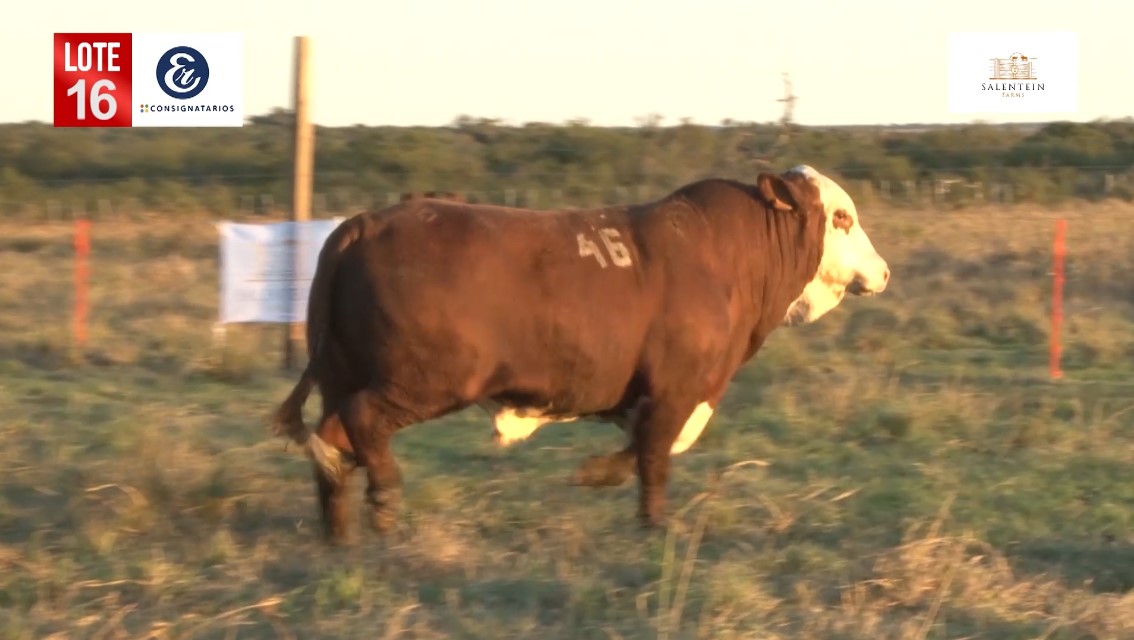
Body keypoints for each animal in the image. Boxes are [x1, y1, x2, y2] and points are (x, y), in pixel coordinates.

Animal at [271, 165, 890, 545]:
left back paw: (339, 537)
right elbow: (655, 457)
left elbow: (642, 447)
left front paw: (598, 473)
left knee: (331, 443)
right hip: (425, 381)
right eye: (842, 217)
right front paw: (653, 527)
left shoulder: (659, 396)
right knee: (361, 425)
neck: (731, 259)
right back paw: (384, 507)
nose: (882, 271)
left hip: (343, 374)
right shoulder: (676, 391)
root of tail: (362, 224)